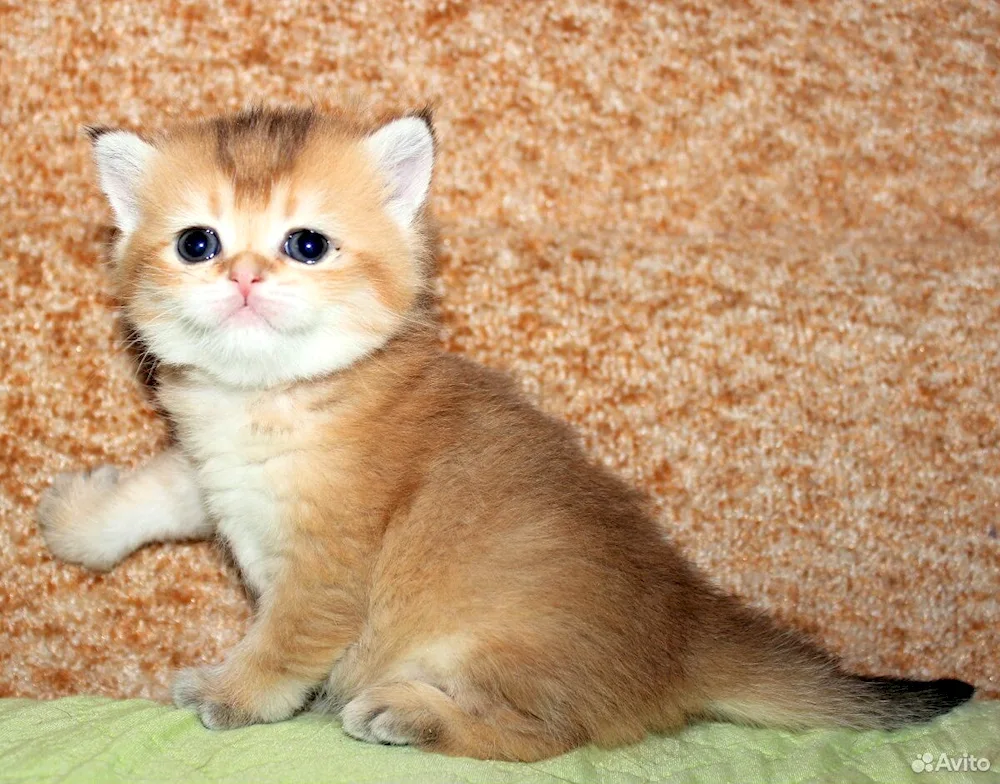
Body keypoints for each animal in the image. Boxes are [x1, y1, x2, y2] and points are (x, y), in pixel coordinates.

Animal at [37, 104, 968, 760]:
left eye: (306, 244)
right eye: (198, 243)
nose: (244, 277)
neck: (280, 397)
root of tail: (686, 633)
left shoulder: (330, 567)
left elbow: (285, 639)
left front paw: (232, 692)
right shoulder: (218, 470)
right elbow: (161, 484)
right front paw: (80, 524)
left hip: (488, 642)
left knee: (548, 739)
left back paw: (408, 715)